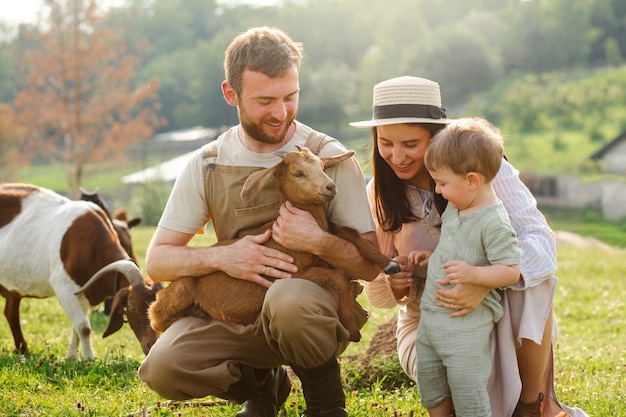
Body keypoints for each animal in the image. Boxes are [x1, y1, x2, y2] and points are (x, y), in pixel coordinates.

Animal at [0, 184, 161, 360]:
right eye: (131, 307)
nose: (152, 345)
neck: (93, 247)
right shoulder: (64, 288)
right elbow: (83, 327)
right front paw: (89, 359)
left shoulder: (84, 293)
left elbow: (76, 328)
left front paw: (72, 358)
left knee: (11, 313)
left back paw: (22, 350)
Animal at [149, 146, 398, 342]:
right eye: (298, 173)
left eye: (322, 167)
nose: (330, 187)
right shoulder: (290, 271)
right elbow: (339, 277)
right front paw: (352, 329)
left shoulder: (326, 240)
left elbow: (350, 233)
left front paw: (389, 264)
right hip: (181, 288)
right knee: (155, 316)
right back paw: (193, 313)